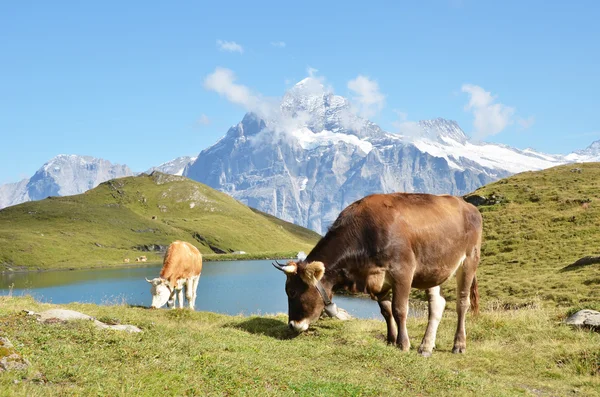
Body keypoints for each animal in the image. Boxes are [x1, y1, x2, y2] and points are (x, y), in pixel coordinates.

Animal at [274, 193, 482, 356]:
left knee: (462, 303)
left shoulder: (403, 271)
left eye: (292, 292)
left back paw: (459, 345)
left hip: (469, 260)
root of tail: (468, 206)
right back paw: (425, 347)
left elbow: (399, 309)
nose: (292, 325)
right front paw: (391, 339)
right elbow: (386, 311)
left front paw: (403, 343)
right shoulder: (377, 280)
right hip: (432, 269)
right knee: (437, 304)